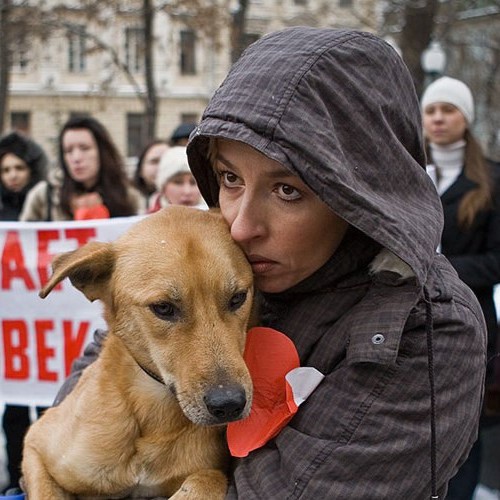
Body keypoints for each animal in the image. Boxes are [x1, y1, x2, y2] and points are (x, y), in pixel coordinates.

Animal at [20, 205, 254, 498]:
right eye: (163, 308)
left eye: (238, 298)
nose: (229, 404)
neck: (151, 416)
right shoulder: (36, 445)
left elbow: (209, 478)